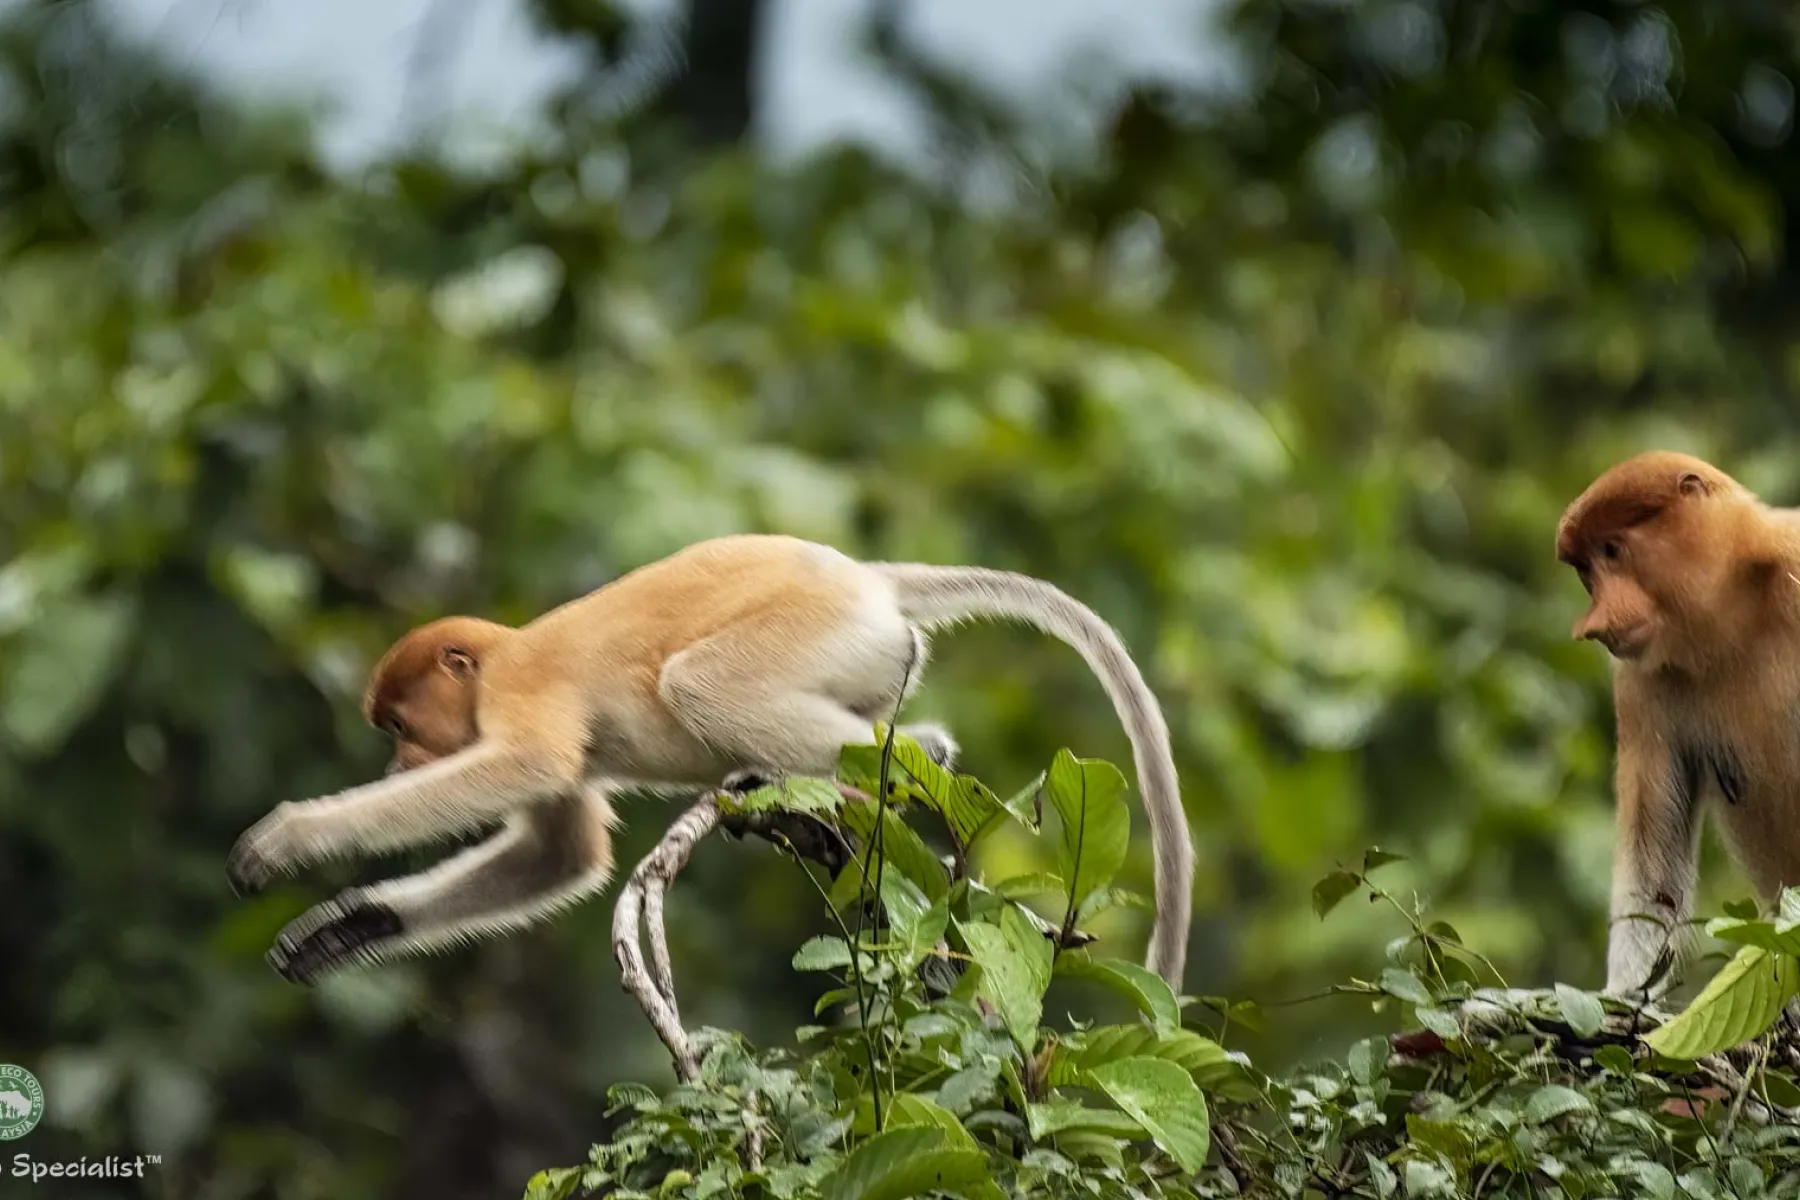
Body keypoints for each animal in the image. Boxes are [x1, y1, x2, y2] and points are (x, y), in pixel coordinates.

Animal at [226, 533, 1196, 990]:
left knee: (698, 681)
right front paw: (347, 926)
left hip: (817, 630)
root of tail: (869, 578)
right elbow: (560, 852)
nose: (397, 767)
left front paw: (285, 837)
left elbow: (531, 763)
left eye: (401, 723)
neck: (503, 652)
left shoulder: (520, 689)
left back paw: (875, 774)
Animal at [1557, 450, 1800, 1004]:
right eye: (1586, 570)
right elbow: (1654, 876)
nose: (1592, 626)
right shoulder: (1641, 681)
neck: (1734, 617)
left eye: (1613, 550)